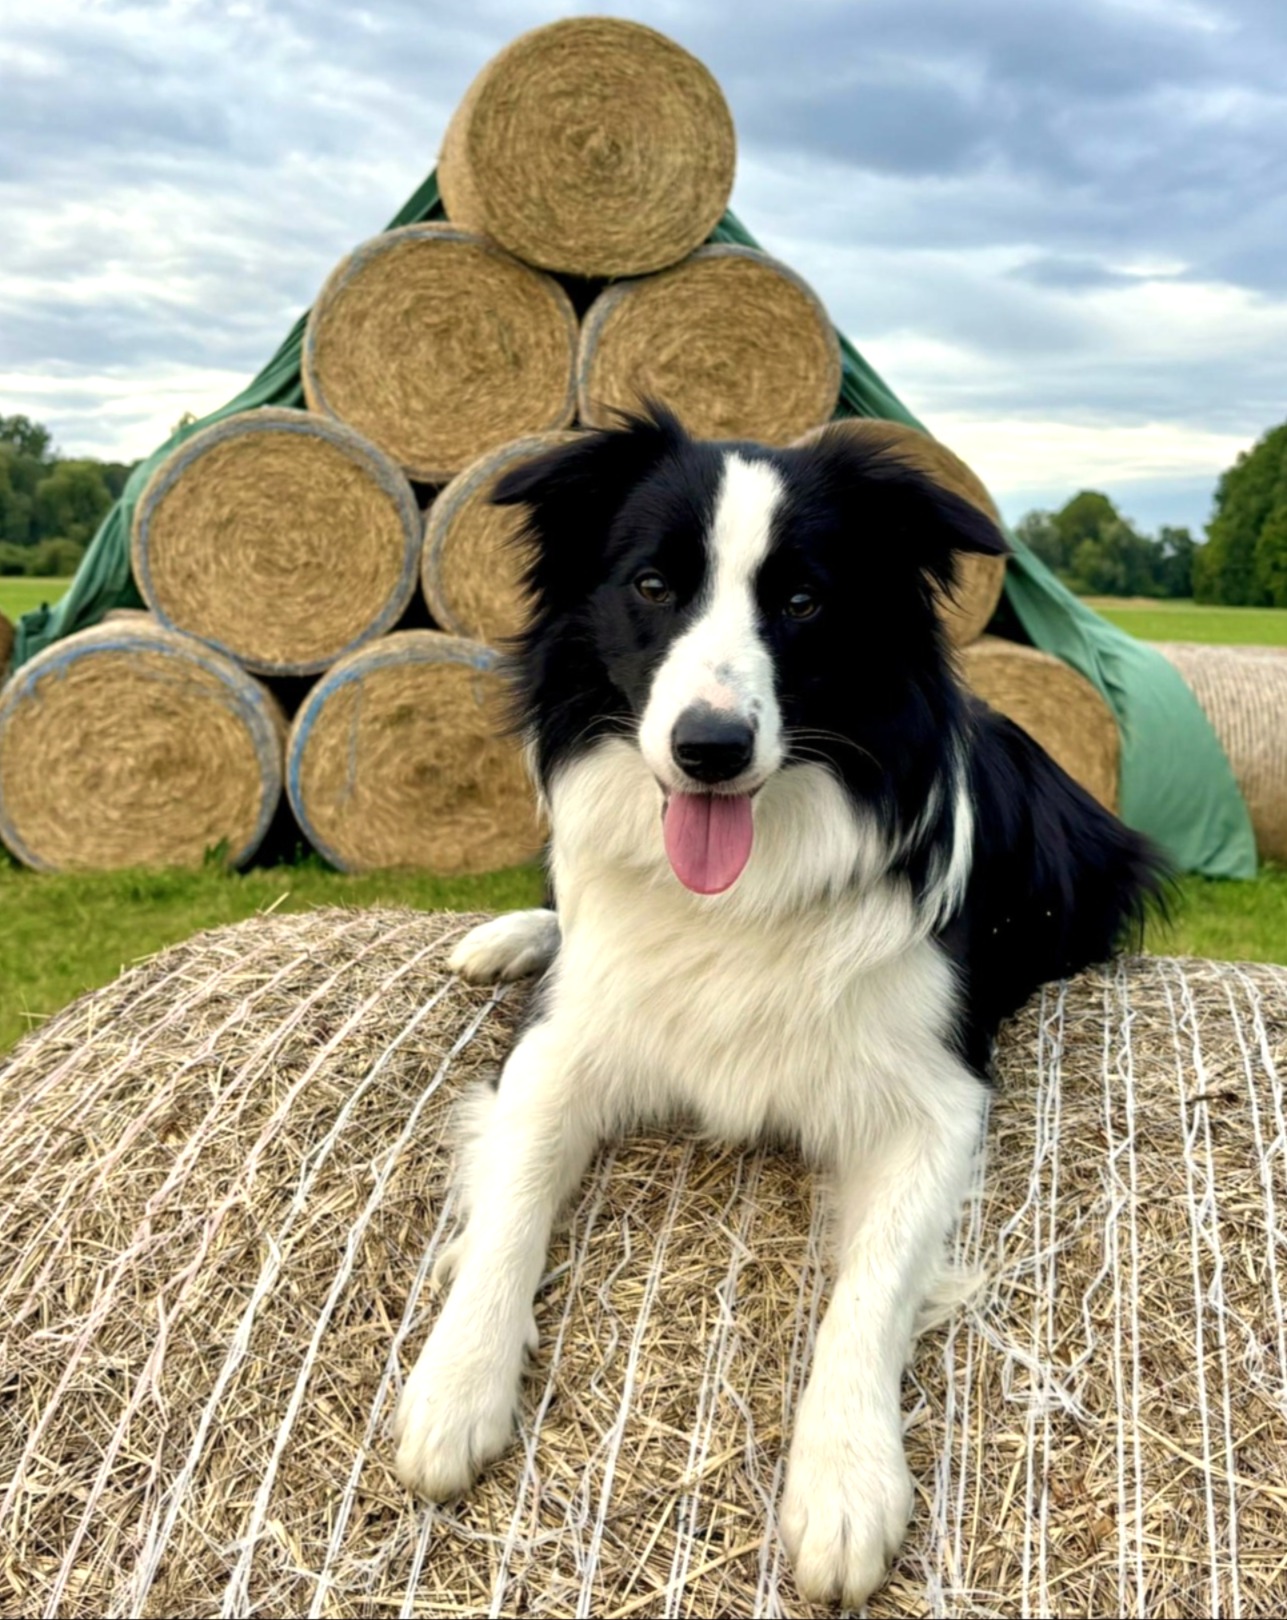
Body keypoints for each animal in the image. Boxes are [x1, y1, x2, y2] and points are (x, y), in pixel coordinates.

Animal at [391, 406, 1166, 1607]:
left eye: (803, 601)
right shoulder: (562, 1050)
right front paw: (454, 1385)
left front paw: (846, 1481)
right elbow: (511, 1207)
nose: (709, 749)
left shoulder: (935, 1101)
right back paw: (504, 938)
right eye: (653, 585)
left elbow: (871, 1288)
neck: (744, 892)